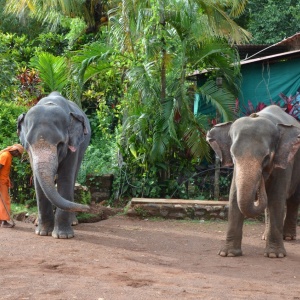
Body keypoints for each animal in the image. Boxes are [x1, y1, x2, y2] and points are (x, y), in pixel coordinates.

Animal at [16, 91, 90, 239]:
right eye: (29, 144)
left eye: (60, 144)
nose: (87, 207)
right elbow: (38, 181)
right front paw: (42, 233)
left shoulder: (73, 147)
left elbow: (65, 178)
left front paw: (63, 236)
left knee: (73, 176)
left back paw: (73, 222)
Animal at [206, 105, 300, 258]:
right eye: (233, 155)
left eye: (266, 157)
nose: (262, 178)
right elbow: (234, 197)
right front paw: (228, 254)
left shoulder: (284, 162)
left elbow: (276, 198)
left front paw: (274, 255)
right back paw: (265, 237)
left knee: (293, 200)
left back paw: (288, 237)